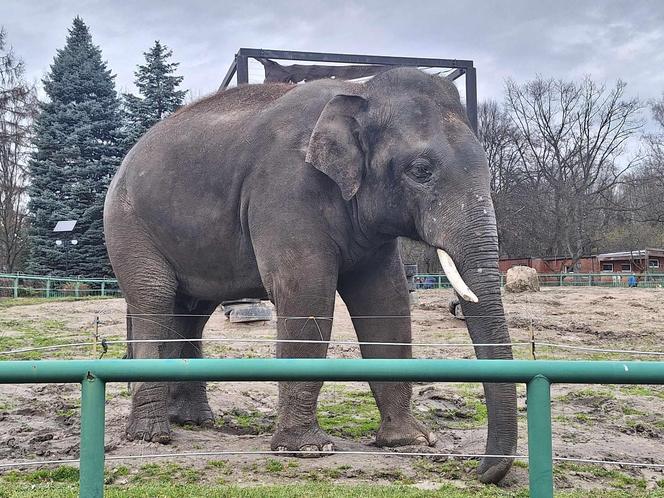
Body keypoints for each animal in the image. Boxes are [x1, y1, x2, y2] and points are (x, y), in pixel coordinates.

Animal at [104, 66, 520, 482]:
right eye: (421, 171)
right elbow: (307, 295)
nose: (479, 472)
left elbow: (386, 302)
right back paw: (152, 435)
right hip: (128, 226)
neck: (359, 92)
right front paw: (309, 449)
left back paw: (194, 421)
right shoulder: (286, 189)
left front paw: (411, 442)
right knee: (155, 298)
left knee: (191, 311)